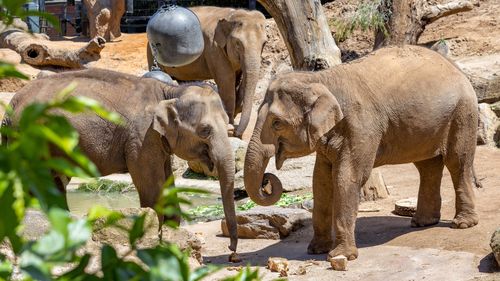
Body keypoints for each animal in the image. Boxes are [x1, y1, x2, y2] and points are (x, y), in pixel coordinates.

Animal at [2, 67, 238, 252]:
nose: (231, 251)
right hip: (30, 138)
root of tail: (10, 108)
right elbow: (151, 188)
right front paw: (160, 240)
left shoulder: (157, 141)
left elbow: (167, 181)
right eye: (205, 130)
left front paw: (172, 235)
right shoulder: (142, 138)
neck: (170, 92)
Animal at [146, 6, 268, 138]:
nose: (236, 133)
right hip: (151, 52)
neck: (231, 14)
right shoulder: (214, 48)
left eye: (264, 43)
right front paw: (228, 124)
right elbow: (226, 80)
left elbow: (238, 79)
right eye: (237, 43)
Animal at [244, 45, 482, 260]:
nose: (267, 179)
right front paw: (316, 250)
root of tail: (455, 66)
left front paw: (341, 256)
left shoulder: (361, 125)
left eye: (276, 123)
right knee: (427, 166)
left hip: (462, 112)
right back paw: (422, 222)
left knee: (457, 161)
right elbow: (320, 180)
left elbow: (347, 177)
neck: (321, 79)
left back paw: (462, 223)